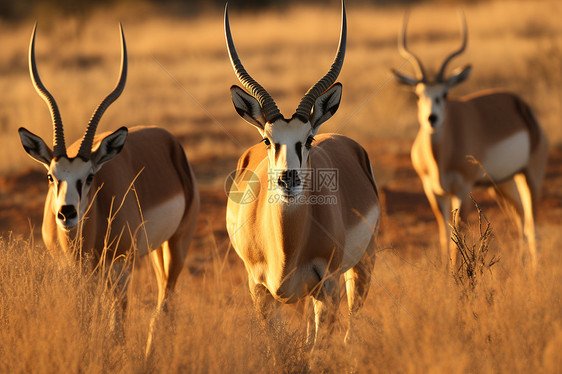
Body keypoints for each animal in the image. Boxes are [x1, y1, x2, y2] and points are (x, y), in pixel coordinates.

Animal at [17, 24, 199, 354]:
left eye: (90, 176)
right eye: (50, 176)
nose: (67, 214)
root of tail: (171, 143)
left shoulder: (121, 267)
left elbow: (117, 328)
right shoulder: (72, 271)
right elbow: (84, 319)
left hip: (177, 244)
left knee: (164, 304)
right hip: (156, 252)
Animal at [225, 2, 378, 354]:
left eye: (307, 139)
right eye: (268, 140)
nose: (288, 180)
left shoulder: (329, 286)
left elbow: (319, 351)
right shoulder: (260, 291)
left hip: (360, 266)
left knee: (352, 327)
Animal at [392, 13, 544, 266]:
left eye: (445, 94)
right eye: (418, 94)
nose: (432, 118)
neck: (441, 156)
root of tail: (521, 105)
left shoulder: (462, 189)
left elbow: (458, 235)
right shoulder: (432, 191)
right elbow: (444, 235)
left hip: (530, 175)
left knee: (533, 221)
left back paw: (534, 269)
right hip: (501, 183)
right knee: (521, 215)